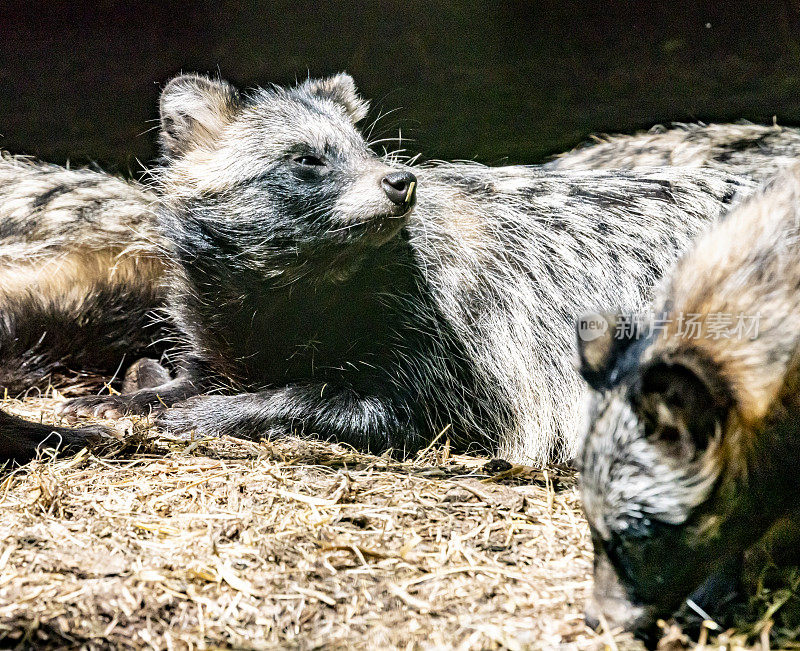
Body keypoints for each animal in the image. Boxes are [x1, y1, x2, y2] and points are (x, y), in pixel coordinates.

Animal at [1, 74, 800, 466]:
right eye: (307, 160)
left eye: (365, 148)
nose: (398, 182)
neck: (302, 297)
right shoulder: (221, 322)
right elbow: (208, 368)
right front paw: (131, 396)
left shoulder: (454, 345)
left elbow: (386, 409)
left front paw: (202, 413)